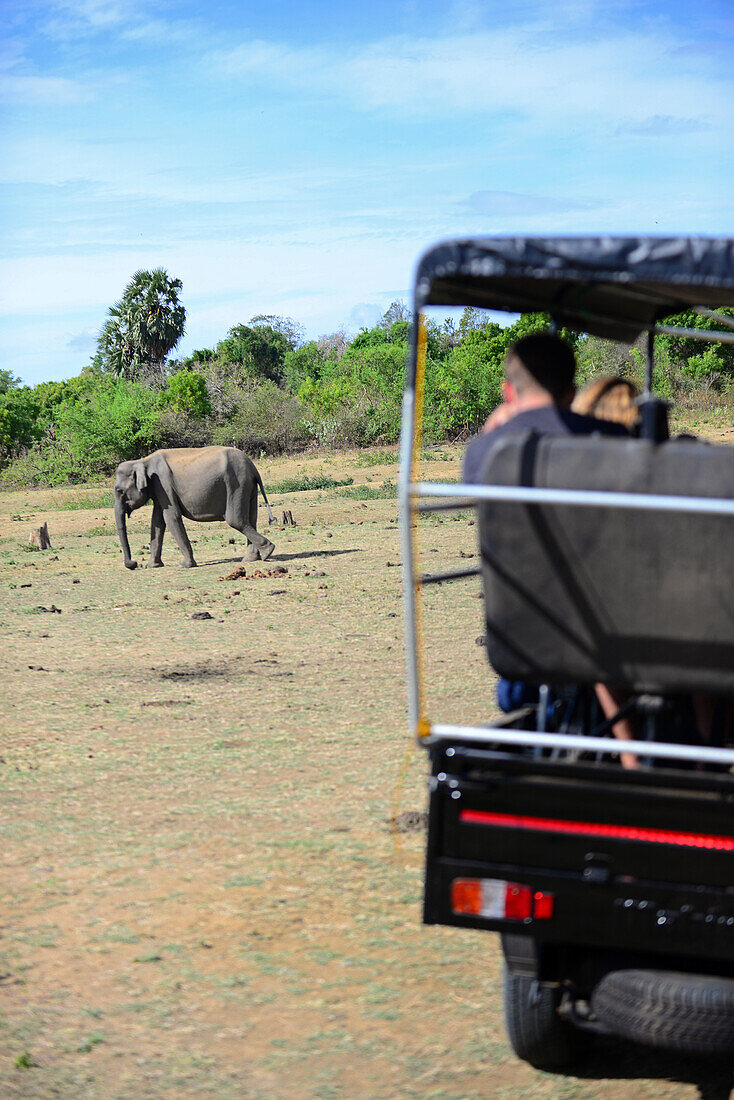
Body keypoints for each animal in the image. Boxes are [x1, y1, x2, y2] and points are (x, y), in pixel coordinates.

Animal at [113, 446, 277, 572]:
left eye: (119, 491)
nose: (134, 564)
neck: (141, 461)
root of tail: (253, 467)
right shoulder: (159, 489)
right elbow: (158, 522)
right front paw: (152, 566)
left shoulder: (163, 485)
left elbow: (171, 517)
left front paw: (185, 566)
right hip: (249, 487)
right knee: (251, 519)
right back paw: (251, 559)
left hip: (237, 484)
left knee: (236, 520)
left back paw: (268, 551)